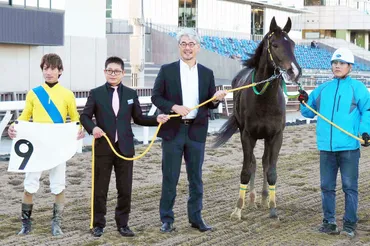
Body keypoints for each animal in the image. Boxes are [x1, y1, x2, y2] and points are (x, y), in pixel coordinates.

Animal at [214, 17, 300, 219]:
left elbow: (271, 170)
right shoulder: (247, 135)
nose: (294, 71)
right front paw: (238, 209)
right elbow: (246, 169)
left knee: (264, 162)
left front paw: (273, 208)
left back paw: (263, 198)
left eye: (292, 44)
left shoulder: (276, 136)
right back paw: (251, 199)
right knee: (253, 162)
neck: (264, 98)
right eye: (275, 45)